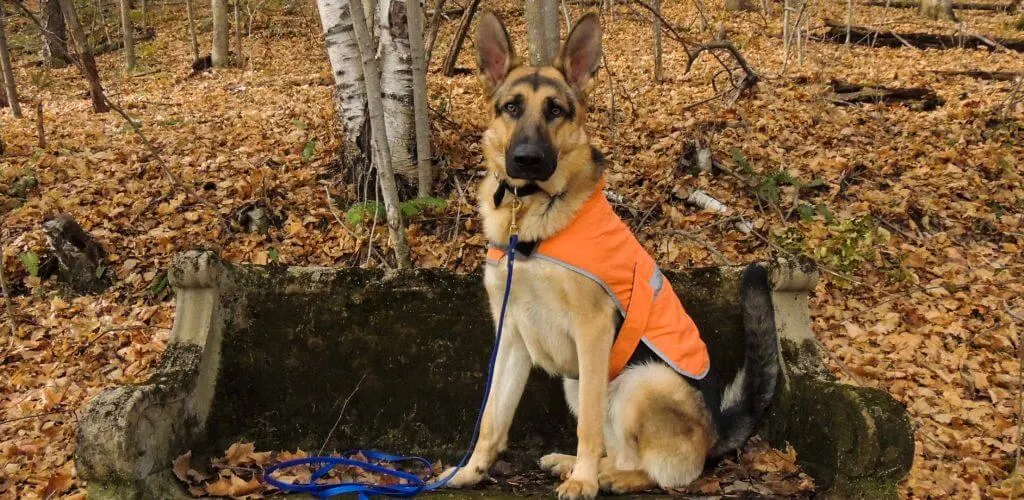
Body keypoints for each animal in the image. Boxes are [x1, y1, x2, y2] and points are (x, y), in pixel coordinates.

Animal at [444, 11, 778, 500]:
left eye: (555, 110)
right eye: (512, 108)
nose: (526, 160)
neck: (529, 216)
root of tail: (716, 429)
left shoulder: (593, 331)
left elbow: (587, 427)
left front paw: (584, 482)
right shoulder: (511, 335)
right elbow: (492, 416)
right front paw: (470, 471)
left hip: (639, 380)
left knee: (657, 470)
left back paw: (604, 476)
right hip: (577, 379)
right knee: (615, 447)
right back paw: (575, 465)